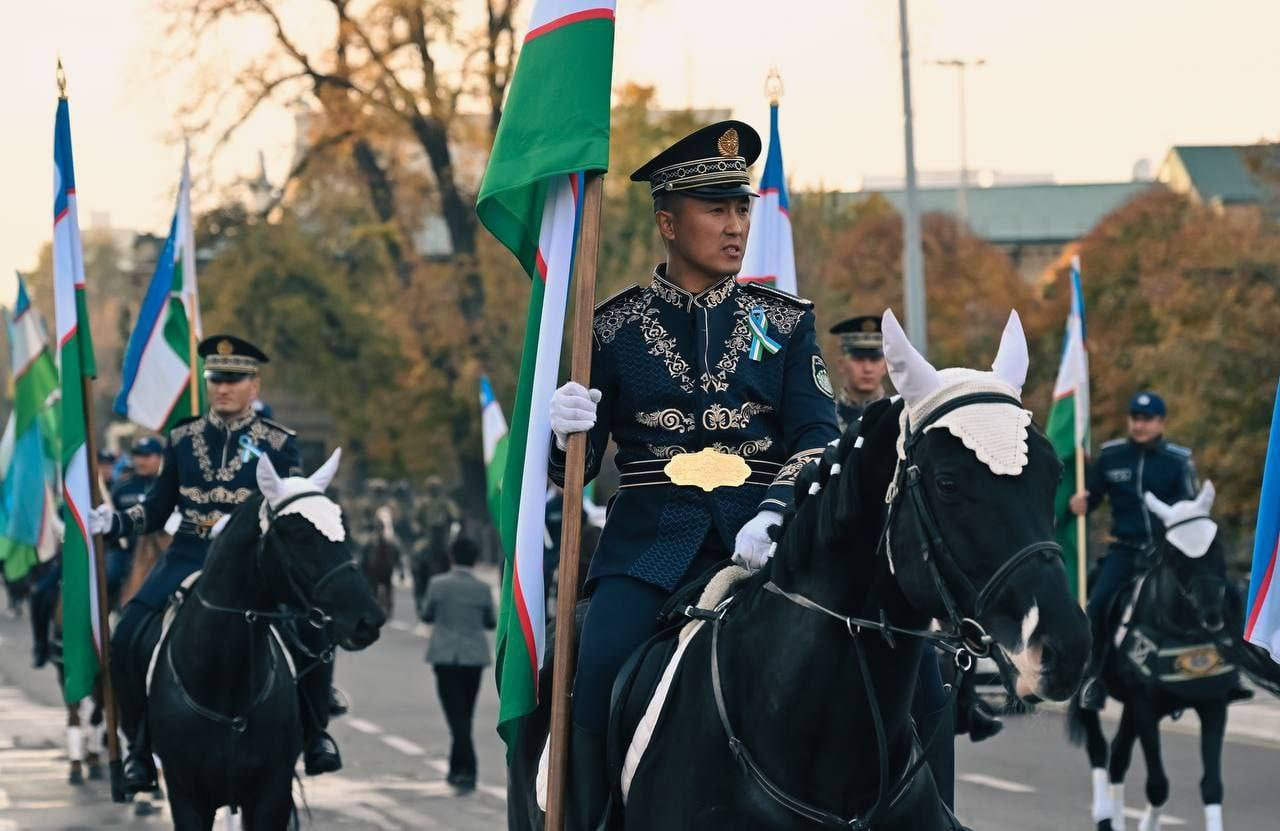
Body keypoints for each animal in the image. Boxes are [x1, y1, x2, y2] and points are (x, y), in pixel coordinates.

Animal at [139, 450, 381, 824]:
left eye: (344, 527)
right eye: (298, 534)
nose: (368, 620)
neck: (225, 685)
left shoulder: (271, 793)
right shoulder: (186, 797)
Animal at [1064, 478, 1280, 829]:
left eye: (1216, 544)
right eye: (1175, 554)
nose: (1212, 613)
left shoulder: (1212, 706)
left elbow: (1211, 786)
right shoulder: (1145, 708)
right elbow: (1157, 786)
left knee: (1118, 758)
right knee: (1099, 749)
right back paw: (1104, 814)